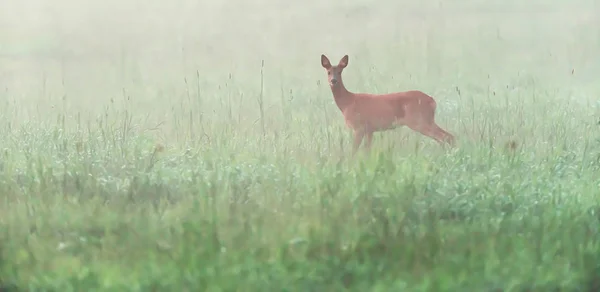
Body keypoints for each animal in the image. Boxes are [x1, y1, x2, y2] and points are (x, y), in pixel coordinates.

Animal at [318, 54, 454, 155]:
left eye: (339, 72)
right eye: (328, 72)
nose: (333, 81)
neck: (347, 102)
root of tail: (432, 101)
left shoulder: (359, 127)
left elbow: (354, 151)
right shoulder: (370, 130)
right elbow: (367, 151)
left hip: (418, 120)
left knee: (444, 137)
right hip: (427, 120)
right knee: (448, 136)